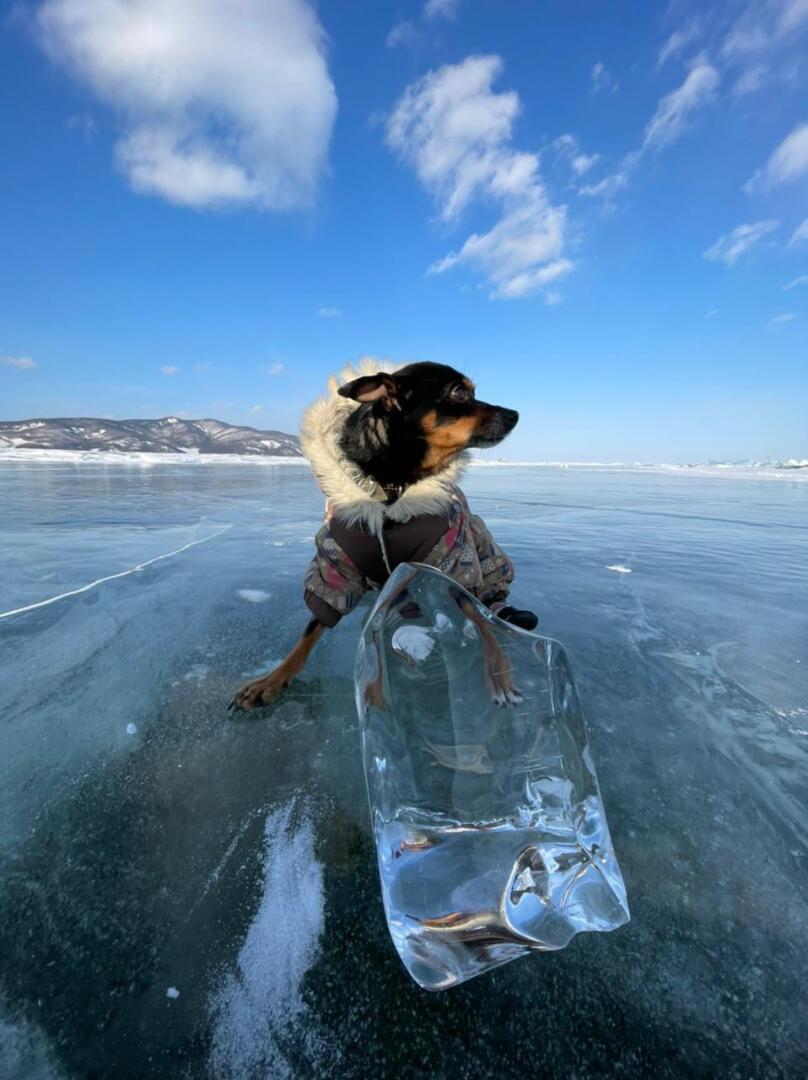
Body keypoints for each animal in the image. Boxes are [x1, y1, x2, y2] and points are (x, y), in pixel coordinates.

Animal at [229, 360, 535, 717]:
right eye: (459, 393)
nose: (514, 414)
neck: (392, 487)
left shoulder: (454, 556)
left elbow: (482, 623)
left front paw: (499, 671)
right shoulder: (336, 563)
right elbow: (311, 629)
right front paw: (271, 680)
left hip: (479, 536)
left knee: (490, 598)